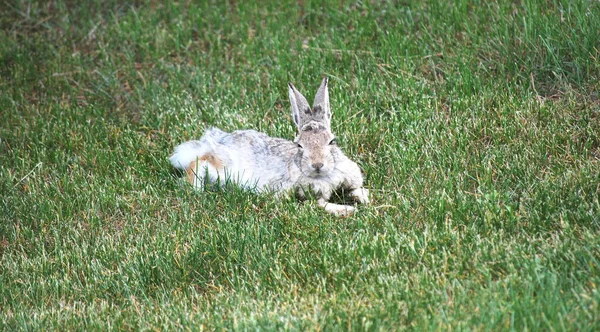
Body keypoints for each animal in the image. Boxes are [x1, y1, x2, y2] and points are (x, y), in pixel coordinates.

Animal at [170, 77, 370, 215]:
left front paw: (363, 199)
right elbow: (320, 204)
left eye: (332, 141)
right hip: (222, 168)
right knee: (198, 163)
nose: (317, 164)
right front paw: (346, 210)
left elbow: (358, 189)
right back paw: (197, 189)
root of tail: (217, 139)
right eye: (299, 145)